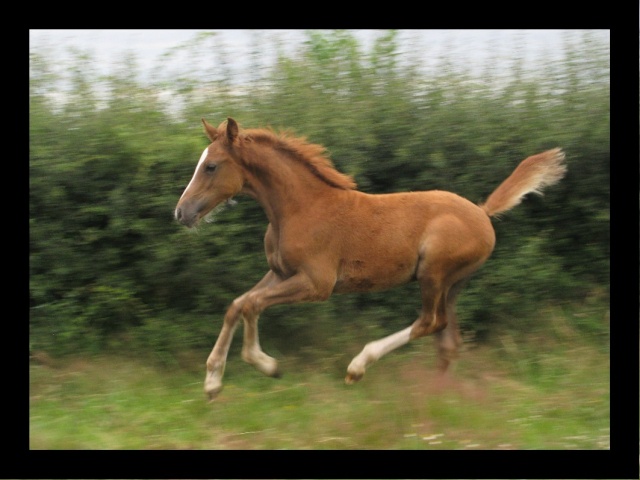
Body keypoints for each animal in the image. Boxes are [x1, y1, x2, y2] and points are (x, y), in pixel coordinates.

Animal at [175, 118, 564, 400]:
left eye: (211, 166)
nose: (181, 212)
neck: (299, 208)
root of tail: (483, 213)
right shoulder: (280, 273)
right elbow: (237, 305)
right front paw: (212, 383)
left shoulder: (316, 283)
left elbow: (252, 304)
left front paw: (266, 365)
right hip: (454, 284)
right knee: (448, 341)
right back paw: (435, 398)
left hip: (434, 274)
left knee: (430, 323)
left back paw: (358, 367)